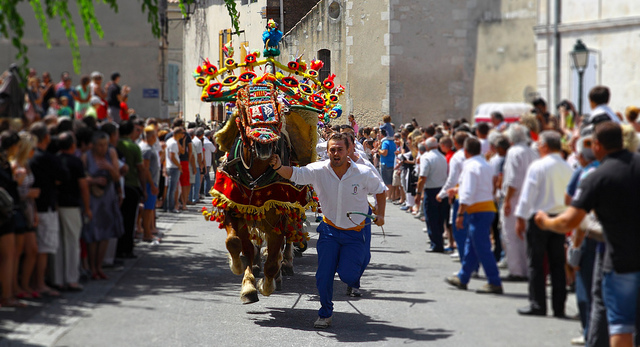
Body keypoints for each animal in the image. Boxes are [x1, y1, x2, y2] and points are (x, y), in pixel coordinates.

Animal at [196, 21, 344, 304]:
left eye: (277, 107)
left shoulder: (278, 208)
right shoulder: (236, 205)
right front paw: (245, 280)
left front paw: (268, 281)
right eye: (243, 108)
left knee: (286, 239)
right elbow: (238, 244)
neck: (255, 173)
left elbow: (274, 249)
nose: (264, 146)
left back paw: (284, 266)